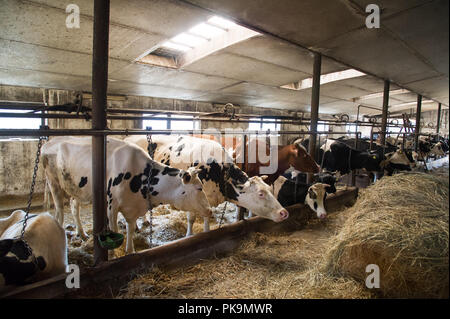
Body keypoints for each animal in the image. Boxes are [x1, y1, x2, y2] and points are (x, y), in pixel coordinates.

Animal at [41, 136, 212, 254]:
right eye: (199, 188)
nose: (210, 210)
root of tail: (49, 142)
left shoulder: (133, 207)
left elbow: (130, 228)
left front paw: (130, 250)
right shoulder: (112, 205)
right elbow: (114, 229)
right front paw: (111, 254)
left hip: (77, 189)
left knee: (73, 206)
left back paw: (82, 234)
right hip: (53, 183)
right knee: (59, 212)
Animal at [125, 135, 290, 235]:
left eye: (270, 189)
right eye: (260, 194)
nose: (284, 212)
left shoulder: (207, 201)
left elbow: (206, 219)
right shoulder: (190, 195)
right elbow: (191, 219)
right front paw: (189, 235)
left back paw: (144, 221)